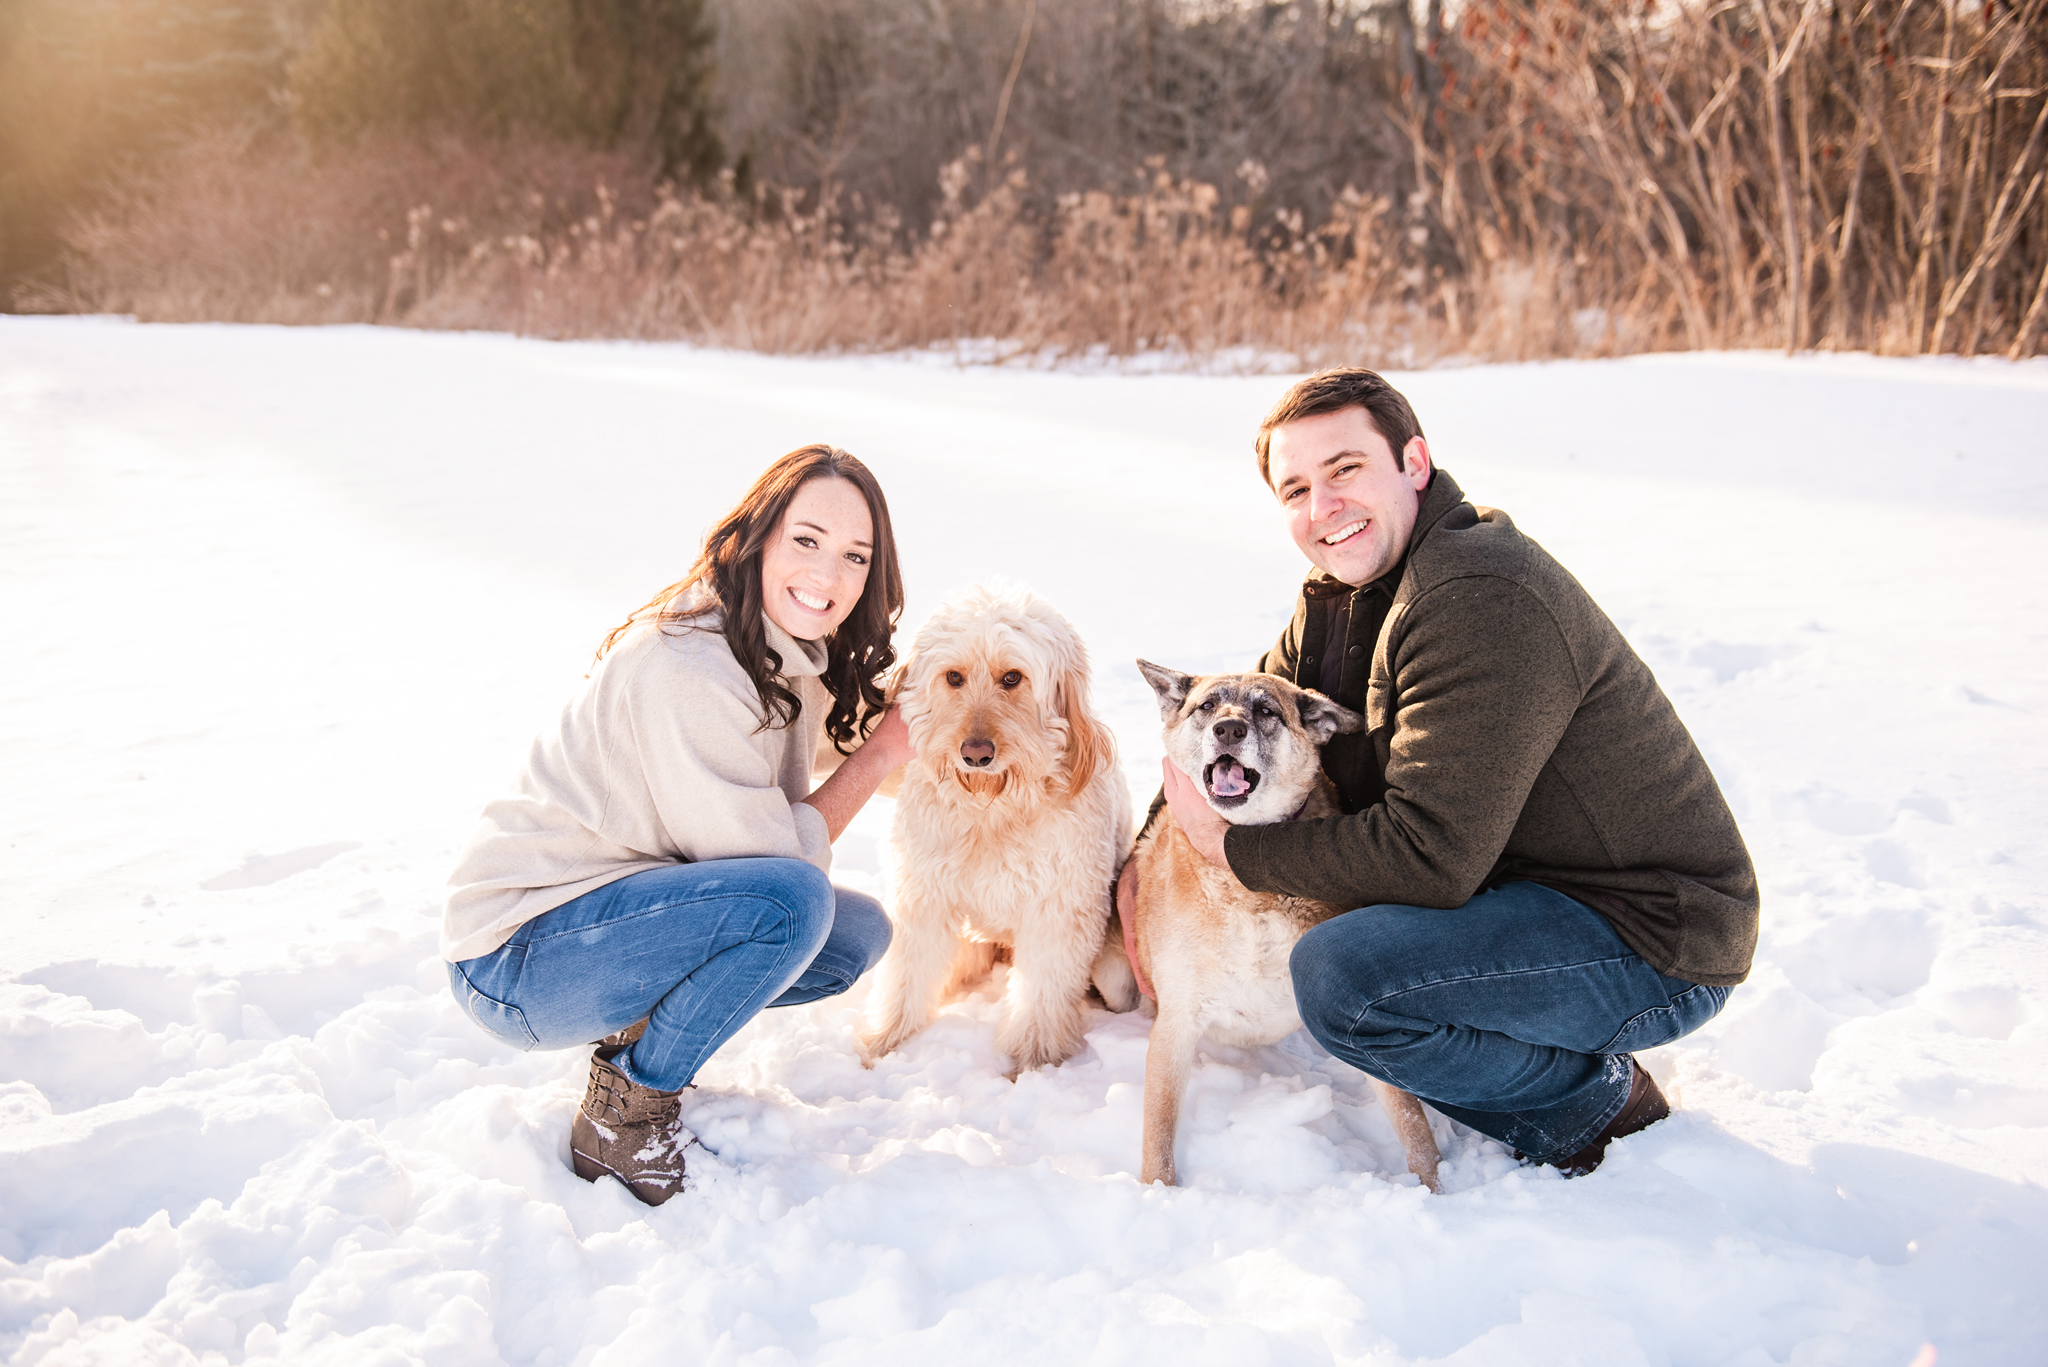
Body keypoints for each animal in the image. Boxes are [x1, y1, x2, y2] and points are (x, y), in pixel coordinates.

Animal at [851, 582, 1130, 1073]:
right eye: (954, 677)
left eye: (1013, 678)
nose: (975, 753)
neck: (990, 807)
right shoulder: (924, 896)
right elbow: (906, 974)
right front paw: (885, 1040)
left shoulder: (1059, 911)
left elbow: (1042, 992)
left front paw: (1033, 1060)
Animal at [1097, 659, 1449, 1188]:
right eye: (1207, 706)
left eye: (1266, 711)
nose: (1228, 729)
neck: (1247, 892)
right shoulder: (1176, 1024)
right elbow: (1158, 1133)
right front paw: (1159, 1194)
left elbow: (1411, 1120)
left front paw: (1431, 1190)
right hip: (1117, 981)